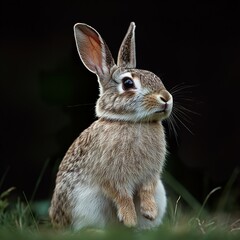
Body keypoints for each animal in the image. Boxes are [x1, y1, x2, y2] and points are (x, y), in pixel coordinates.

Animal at [48, 21, 172, 232]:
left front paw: (149, 212)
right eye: (128, 83)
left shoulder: (151, 176)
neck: (132, 122)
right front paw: (129, 219)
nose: (166, 98)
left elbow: (146, 189)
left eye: (155, 77)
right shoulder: (111, 176)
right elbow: (121, 195)